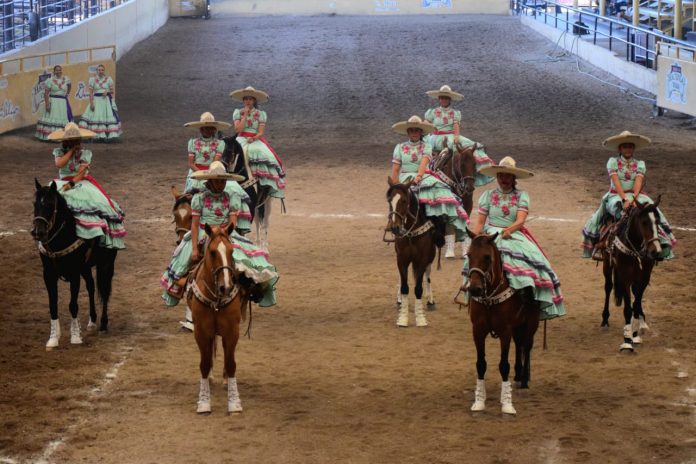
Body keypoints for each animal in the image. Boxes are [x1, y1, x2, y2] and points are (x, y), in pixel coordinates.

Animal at [185, 224, 250, 414]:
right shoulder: (201, 332)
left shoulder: (232, 331)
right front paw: (204, 402)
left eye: (231, 251)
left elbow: (231, 363)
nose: (226, 287)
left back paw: (225, 379)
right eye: (213, 252)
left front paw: (234, 402)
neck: (215, 299)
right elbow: (204, 363)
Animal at [384, 177, 438, 326]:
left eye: (404, 201)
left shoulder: (422, 259)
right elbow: (404, 287)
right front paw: (402, 318)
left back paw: (430, 300)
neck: (411, 234)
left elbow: (418, 288)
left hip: (430, 256)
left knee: (428, 275)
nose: (395, 228)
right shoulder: (402, 259)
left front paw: (420, 319)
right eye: (390, 200)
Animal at [460, 230, 540, 416]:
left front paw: (507, 404)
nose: (474, 289)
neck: (490, 298)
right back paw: (517, 376)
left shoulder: (505, 331)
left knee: (527, 346)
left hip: (531, 323)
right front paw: (479, 401)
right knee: (519, 346)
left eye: (487, 257)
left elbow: (504, 365)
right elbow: (480, 364)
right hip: (518, 326)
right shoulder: (478, 330)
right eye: (469, 255)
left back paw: (524, 381)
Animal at [600, 198, 664, 354]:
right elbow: (628, 309)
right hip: (607, 265)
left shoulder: (644, 277)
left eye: (658, 221)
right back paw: (605, 319)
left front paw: (634, 334)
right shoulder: (625, 278)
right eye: (644, 222)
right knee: (608, 287)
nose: (656, 251)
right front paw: (627, 341)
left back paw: (642, 321)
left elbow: (635, 304)